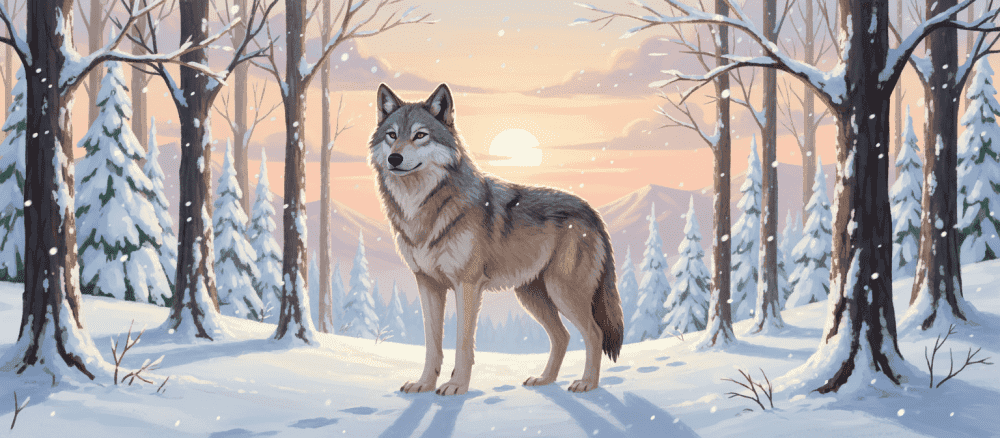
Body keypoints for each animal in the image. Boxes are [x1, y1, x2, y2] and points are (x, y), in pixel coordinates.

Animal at [368, 83, 624, 395]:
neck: (422, 207)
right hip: (533, 296)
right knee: (562, 336)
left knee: (594, 334)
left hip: (562, 291)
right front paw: (424, 384)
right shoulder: (427, 284)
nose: (394, 158)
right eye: (392, 135)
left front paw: (456, 385)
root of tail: (592, 212)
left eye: (420, 135)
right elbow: (432, 344)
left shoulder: (467, 285)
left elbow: (463, 343)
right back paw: (544, 380)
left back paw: (587, 383)